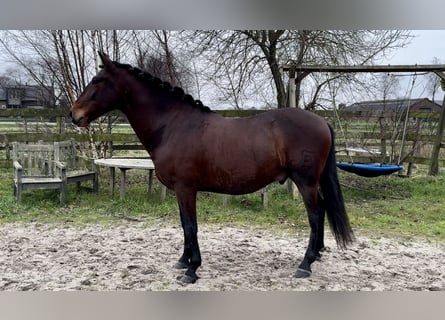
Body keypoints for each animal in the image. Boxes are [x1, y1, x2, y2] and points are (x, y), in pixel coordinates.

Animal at [70, 53, 354, 284]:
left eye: (97, 80)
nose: (74, 115)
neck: (173, 125)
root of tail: (322, 122)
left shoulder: (185, 188)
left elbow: (190, 225)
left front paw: (192, 270)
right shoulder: (180, 191)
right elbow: (184, 224)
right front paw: (183, 261)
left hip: (305, 182)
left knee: (315, 215)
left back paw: (305, 264)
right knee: (322, 210)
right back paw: (316, 255)